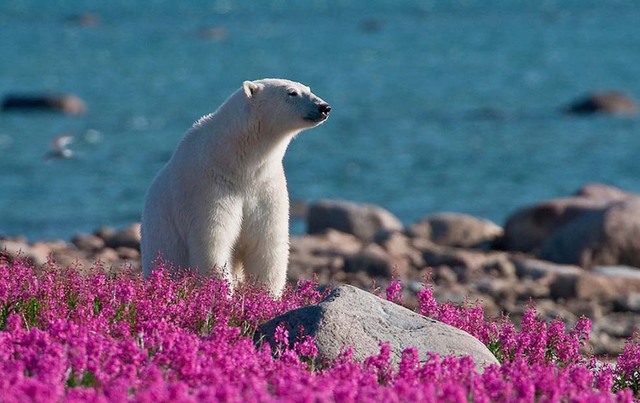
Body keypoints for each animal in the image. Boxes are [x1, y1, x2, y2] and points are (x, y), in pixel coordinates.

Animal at [140, 78, 330, 296]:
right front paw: (224, 295)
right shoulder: (208, 187)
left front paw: (267, 296)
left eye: (308, 88)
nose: (324, 107)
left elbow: (266, 244)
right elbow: (213, 243)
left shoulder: (265, 186)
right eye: (292, 93)